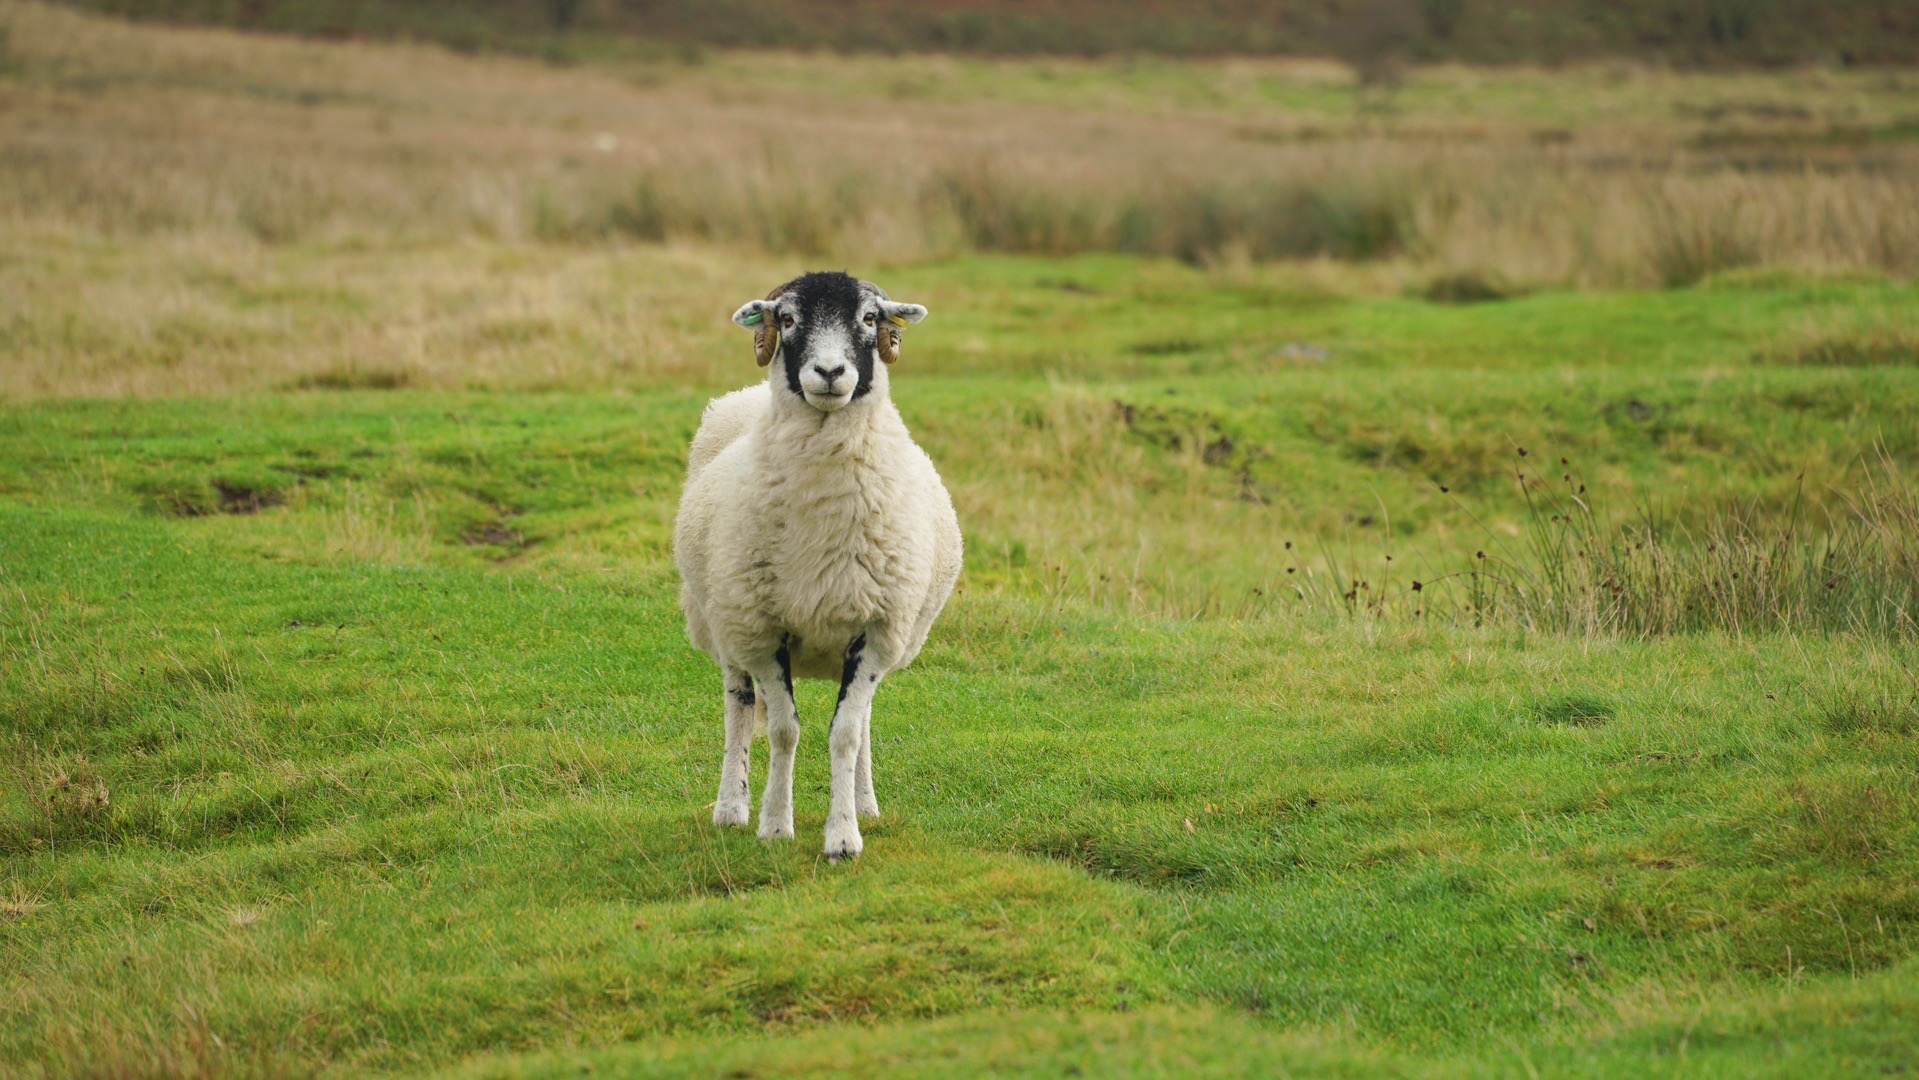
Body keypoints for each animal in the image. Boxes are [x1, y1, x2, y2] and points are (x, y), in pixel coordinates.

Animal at [683, 274, 967, 867]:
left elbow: (845, 735)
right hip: (723, 622)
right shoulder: (764, 630)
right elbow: (783, 731)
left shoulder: (876, 631)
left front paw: (843, 836)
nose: (831, 372)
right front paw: (774, 825)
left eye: (869, 318)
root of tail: (741, 398)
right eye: (787, 319)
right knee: (739, 707)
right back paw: (732, 807)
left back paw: (865, 802)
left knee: (862, 720)